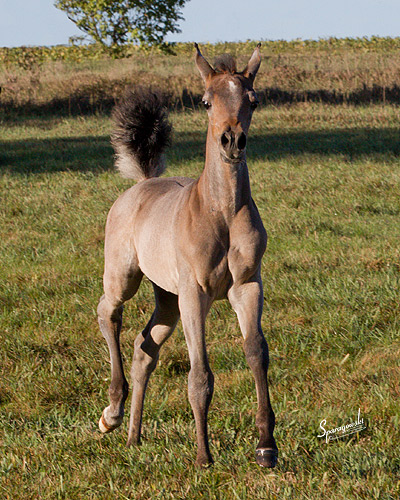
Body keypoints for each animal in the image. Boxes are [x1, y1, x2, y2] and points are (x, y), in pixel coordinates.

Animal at [97, 43, 278, 468]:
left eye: (253, 100)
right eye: (206, 101)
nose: (232, 141)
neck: (222, 212)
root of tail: (142, 184)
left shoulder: (247, 286)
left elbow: (256, 353)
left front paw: (266, 446)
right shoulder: (195, 293)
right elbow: (200, 376)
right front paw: (203, 456)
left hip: (167, 298)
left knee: (144, 347)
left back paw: (133, 437)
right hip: (125, 277)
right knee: (108, 312)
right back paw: (111, 413)